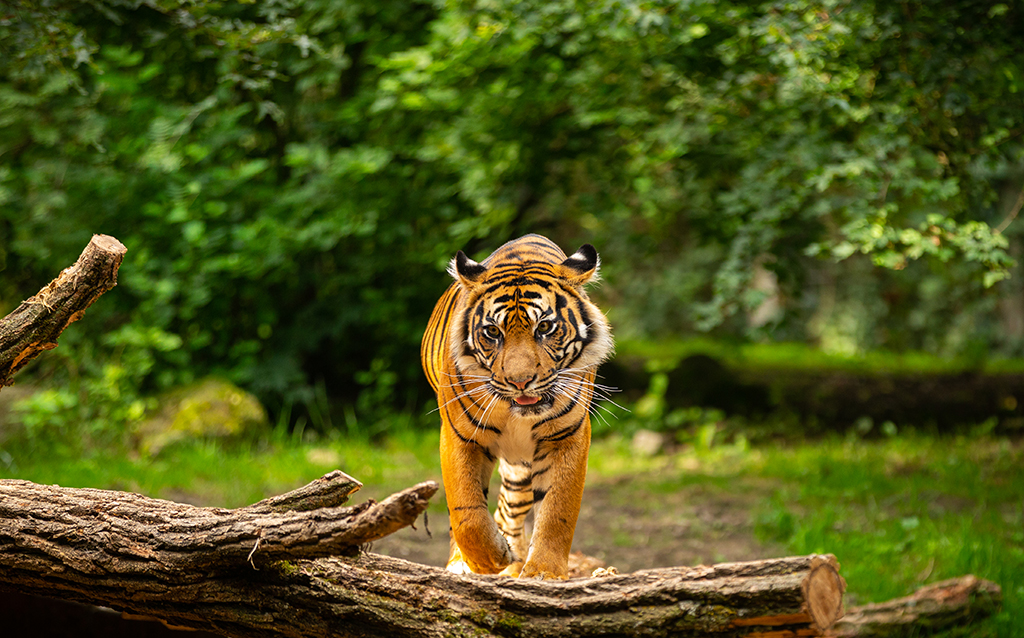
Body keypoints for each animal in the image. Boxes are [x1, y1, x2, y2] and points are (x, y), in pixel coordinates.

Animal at [419, 233, 610, 577]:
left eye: (545, 328)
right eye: (493, 332)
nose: (520, 381)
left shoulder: (567, 437)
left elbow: (558, 509)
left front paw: (544, 571)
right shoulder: (460, 436)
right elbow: (466, 514)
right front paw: (488, 559)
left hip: (520, 467)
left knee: (510, 508)